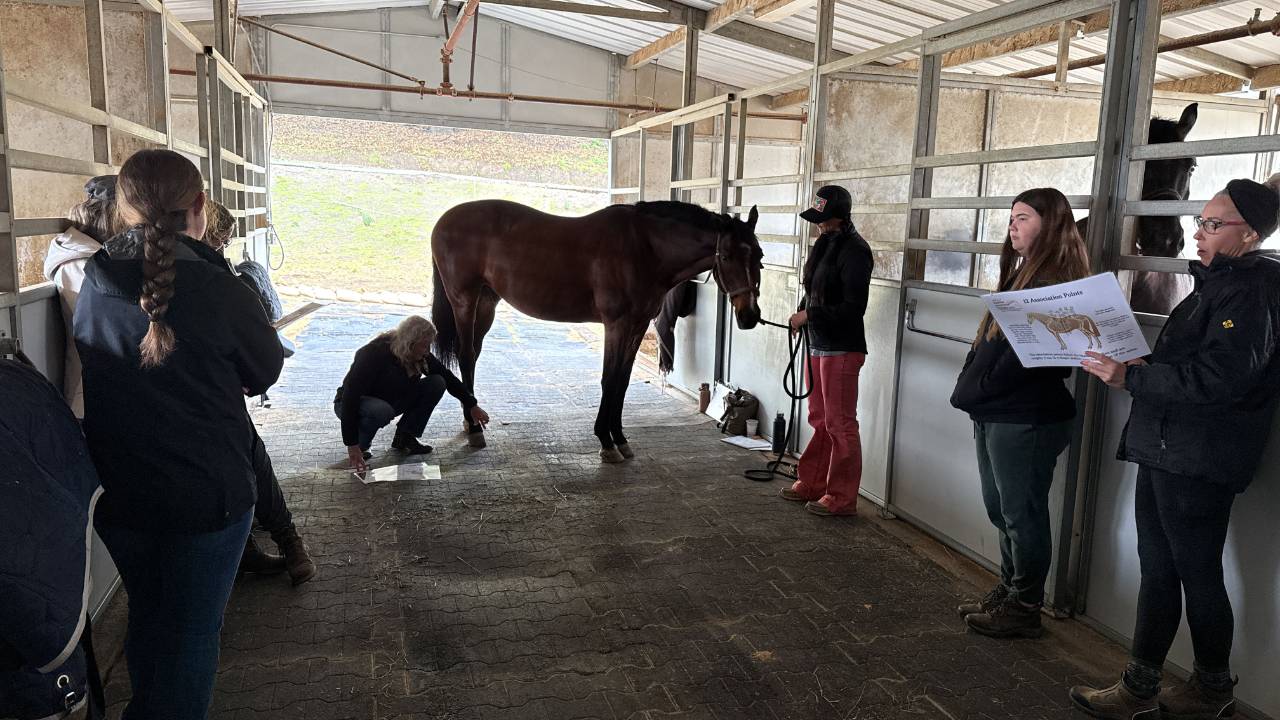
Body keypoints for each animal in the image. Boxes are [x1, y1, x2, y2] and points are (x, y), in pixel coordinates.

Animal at [430, 199, 763, 463]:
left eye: (759, 256)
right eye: (726, 256)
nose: (750, 316)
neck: (644, 248)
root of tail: (444, 220)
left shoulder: (638, 325)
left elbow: (623, 382)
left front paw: (620, 439)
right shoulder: (616, 324)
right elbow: (609, 379)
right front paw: (606, 441)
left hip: (486, 303)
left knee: (472, 355)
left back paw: (470, 418)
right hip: (464, 301)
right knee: (466, 355)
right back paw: (474, 429)